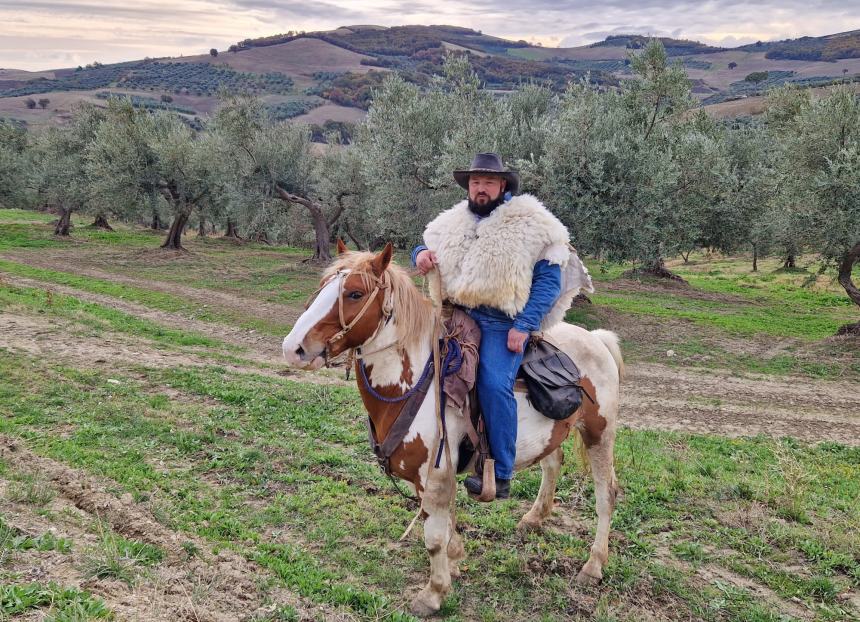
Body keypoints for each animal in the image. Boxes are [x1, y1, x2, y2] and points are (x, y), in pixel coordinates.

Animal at [286, 244, 620, 620]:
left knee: (606, 495)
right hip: (553, 435)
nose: (293, 348)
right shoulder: (425, 476)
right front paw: (456, 559)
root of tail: (596, 339)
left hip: (599, 433)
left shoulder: (436, 476)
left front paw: (433, 593)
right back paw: (534, 519)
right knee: (553, 463)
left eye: (355, 293)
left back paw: (593, 566)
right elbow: (444, 529)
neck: (418, 381)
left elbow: (433, 539)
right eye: (323, 286)